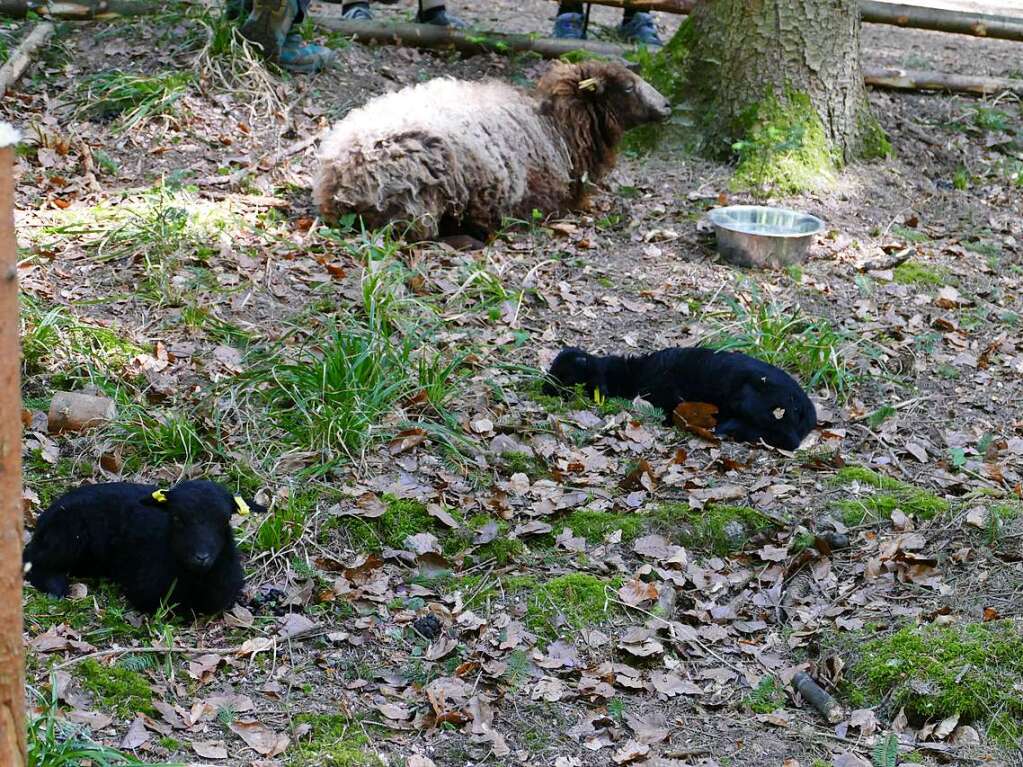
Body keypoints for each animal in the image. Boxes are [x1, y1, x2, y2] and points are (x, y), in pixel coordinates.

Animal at [24, 482, 261, 617]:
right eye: (176, 518)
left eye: (226, 519)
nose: (201, 557)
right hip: (67, 537)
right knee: (31, 559)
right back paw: (56, 586)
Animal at [544, 347, 814, 449]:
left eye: (564, 376)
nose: (544, 388)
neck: (631, 374)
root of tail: (808, 409)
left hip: (750, 399)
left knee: (788, 439)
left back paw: (727, 427)